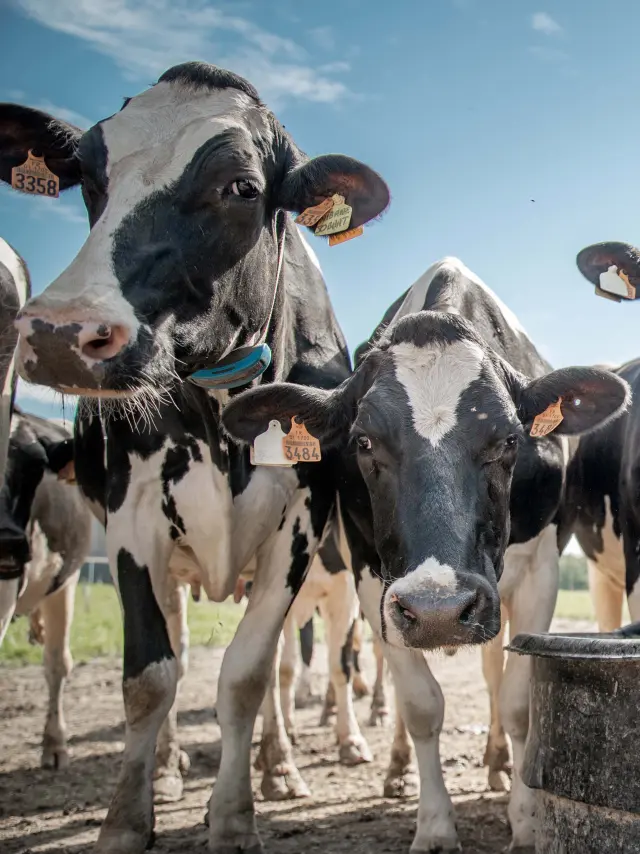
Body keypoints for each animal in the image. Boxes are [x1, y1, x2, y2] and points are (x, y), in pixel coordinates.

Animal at [222, 256, 629, 852]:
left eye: (510, 440)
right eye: (364, 441)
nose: (439, 610)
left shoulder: (541, 570)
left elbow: (517, 701)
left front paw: (527, 821)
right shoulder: (374, 578)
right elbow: (420, 704)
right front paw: (435, 825)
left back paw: (496, 764)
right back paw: (396, 769)